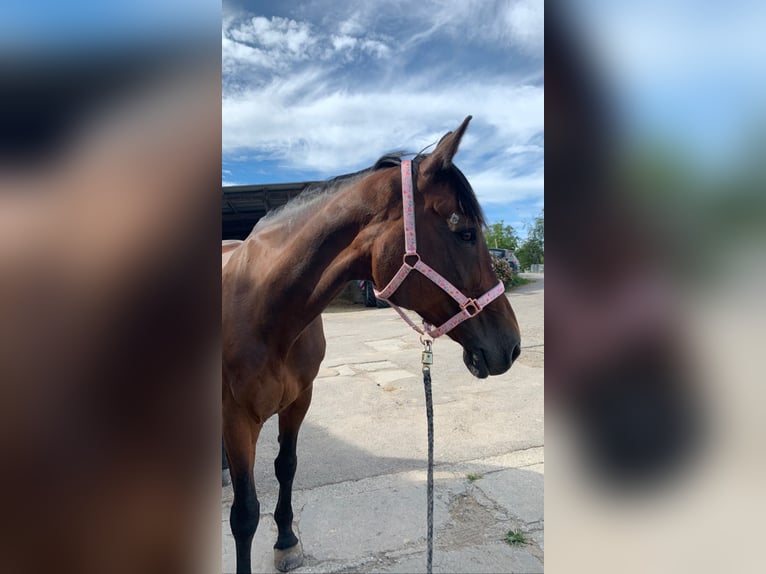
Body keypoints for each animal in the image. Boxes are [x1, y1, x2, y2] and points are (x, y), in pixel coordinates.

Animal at [222, 118, 520, 574]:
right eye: (465, 233)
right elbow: (244, 513)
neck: (261, 307)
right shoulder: (237, 419)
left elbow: (286, 467)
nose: (512, 346)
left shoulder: (299, 401)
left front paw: (287, 540)